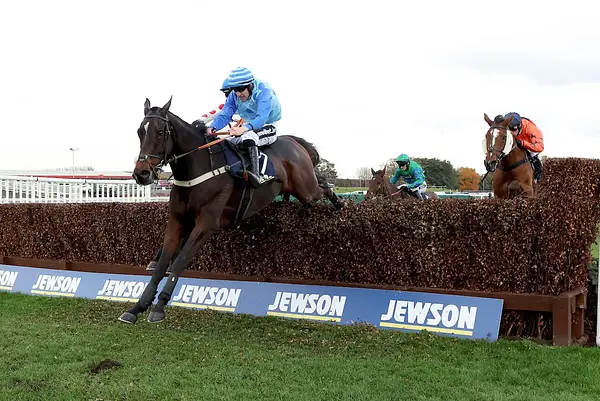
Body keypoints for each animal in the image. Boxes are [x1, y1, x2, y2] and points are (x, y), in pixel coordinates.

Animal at [118, 97, 344, 324]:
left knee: (323, 186)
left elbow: (179, 261)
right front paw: (137, 307)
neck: (197, 168)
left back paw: (340, 205)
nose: (142, 173)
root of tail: (294, 142)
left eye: (160, 132)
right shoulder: (177, 220)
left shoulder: (207, 223)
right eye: (139, 132)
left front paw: (159, 306)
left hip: (306, 188)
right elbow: (162, 265)